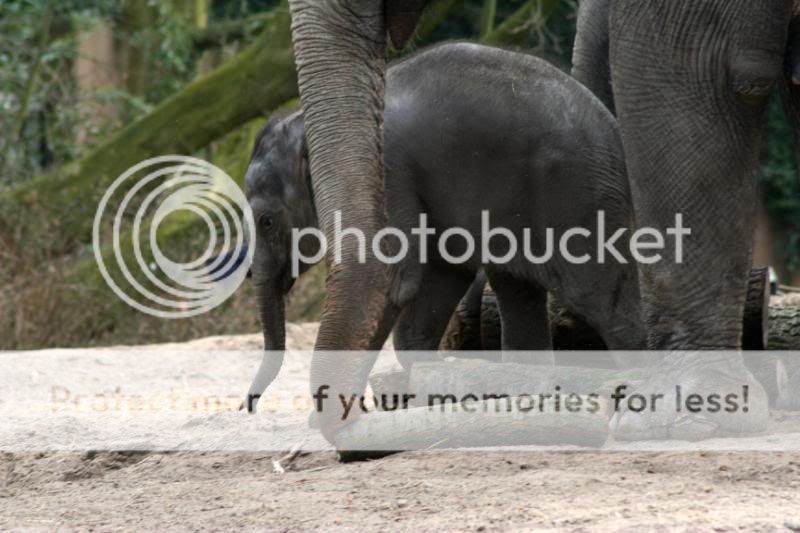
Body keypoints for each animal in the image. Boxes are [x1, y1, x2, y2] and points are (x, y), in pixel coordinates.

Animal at [242, 41, 644, 412]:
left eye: (266, 220)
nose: (248, 405)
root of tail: (615, 133)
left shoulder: (387, 173)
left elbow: (393, 280)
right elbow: (441, 277)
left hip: (577, 197)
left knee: (600, 297)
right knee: (516, 288)